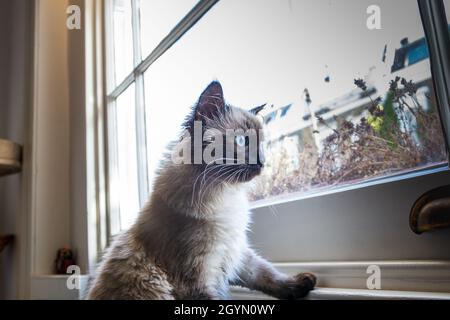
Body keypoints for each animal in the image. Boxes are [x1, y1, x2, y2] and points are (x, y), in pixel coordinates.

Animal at [86, 80, 314, 300]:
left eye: (262, 144)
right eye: (241, 141)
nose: (262, 162)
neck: (224, 195)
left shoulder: (237, 252)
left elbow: (266, 273)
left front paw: (301, 283)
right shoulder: (197, 279)